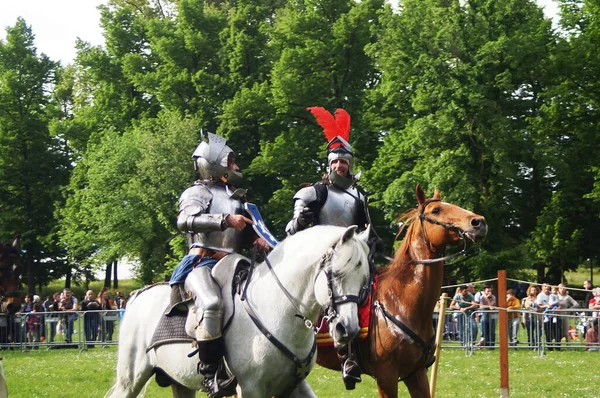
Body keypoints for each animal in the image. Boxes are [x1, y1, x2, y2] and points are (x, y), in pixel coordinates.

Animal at [108, 225, 370, 396]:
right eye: (336, 274)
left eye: (364, 281)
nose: (347, 328)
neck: (278, 310)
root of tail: (137, 295)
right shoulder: (250, 388)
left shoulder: (294, 386)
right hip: (131, 380)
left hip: (179, 383)